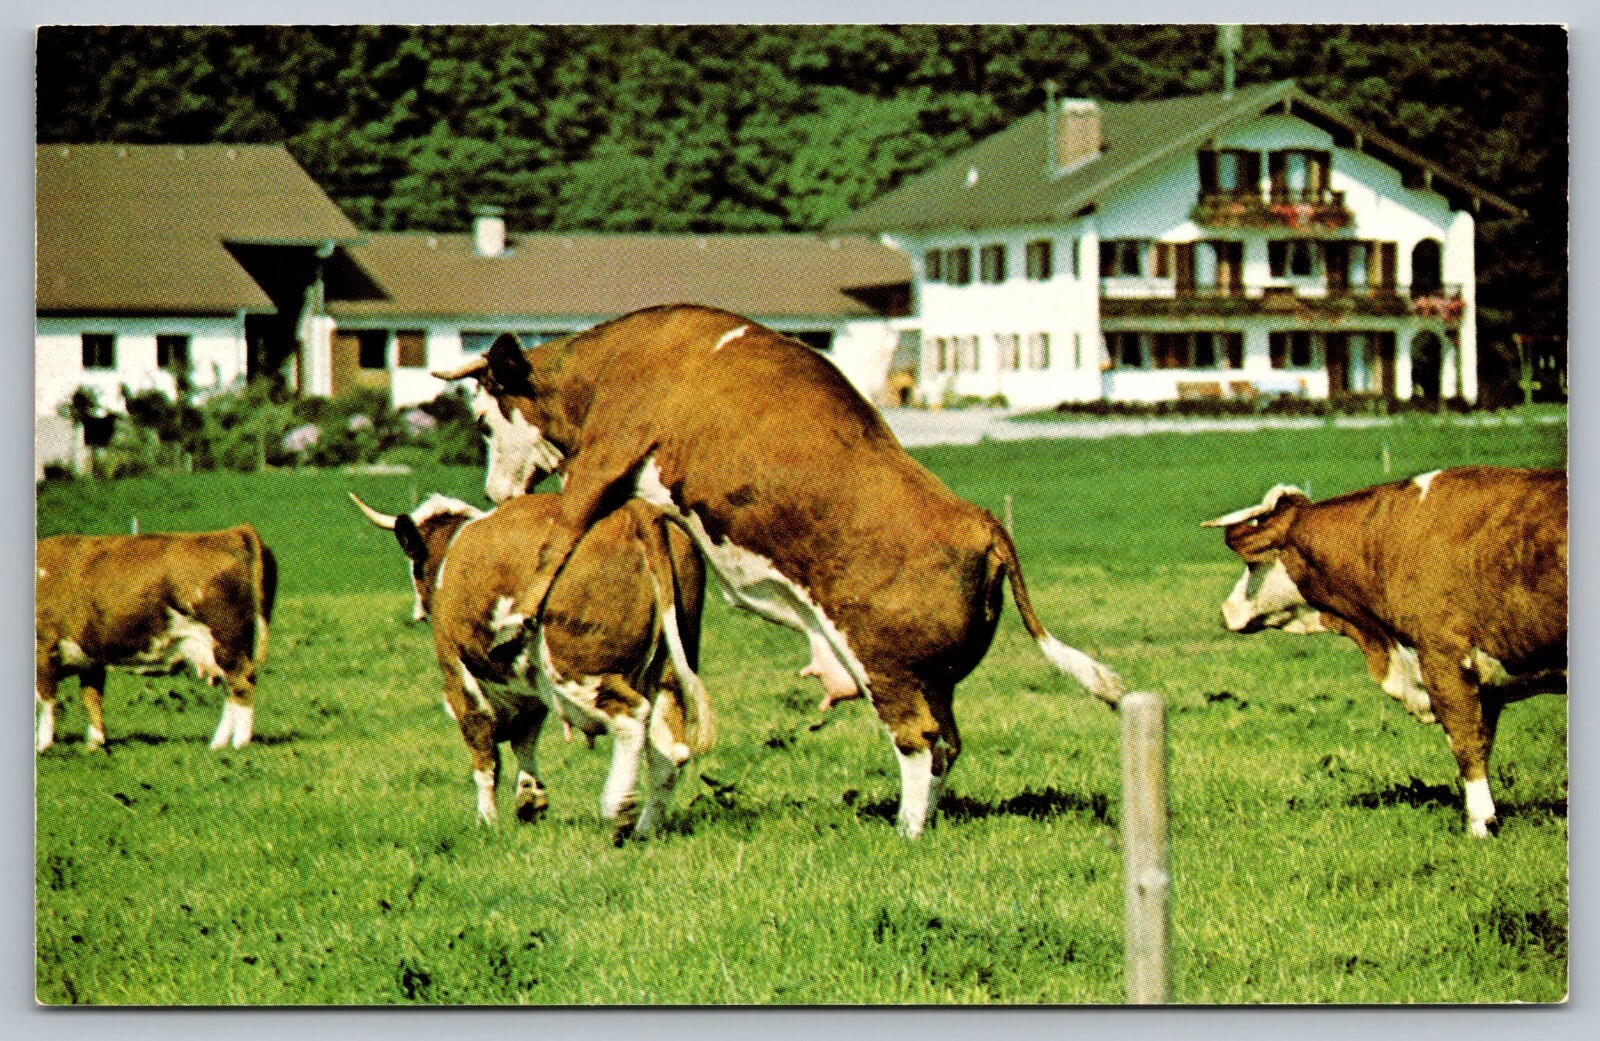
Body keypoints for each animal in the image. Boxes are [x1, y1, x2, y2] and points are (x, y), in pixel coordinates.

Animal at [35, 525, 276, 753]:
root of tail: (231, 532)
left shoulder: (44, 649)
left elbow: (45, 700)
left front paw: (43, 745)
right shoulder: (90, 658)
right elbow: (91, 698)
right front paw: (95, 743)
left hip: (226, 643)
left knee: (242, 682)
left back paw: (239, 743)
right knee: (230, 689)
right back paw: (218, 744)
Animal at [350, 491, 713, 838]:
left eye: (414, 562)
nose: (418, 611)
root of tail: (637, 512)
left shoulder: (458, 677)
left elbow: (485, 756)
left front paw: (487, 821)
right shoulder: (529, 690)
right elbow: (525, 739)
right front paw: (529, 798)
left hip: (578, 670)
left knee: (631, 717)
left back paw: (619, 808)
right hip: (667, 671)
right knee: (669, 753)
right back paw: (644, 829)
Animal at [432, 303, 1123, 839]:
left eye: (484, 420)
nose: (495, 493)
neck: (625, 363)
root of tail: (979, 521)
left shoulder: (603, 459)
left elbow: (559, 538)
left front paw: (515, 619)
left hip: (887, 669)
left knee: (920, 742)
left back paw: (905, 830)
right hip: (932, 679)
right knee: (946, 745)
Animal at [1202, 466, 1567, 837]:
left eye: (1252, 565)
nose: (1227, 610)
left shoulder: (1444, 660)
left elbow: (1466, 745)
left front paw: (1480, 826)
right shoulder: (1486, 687)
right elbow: (1482, 743)